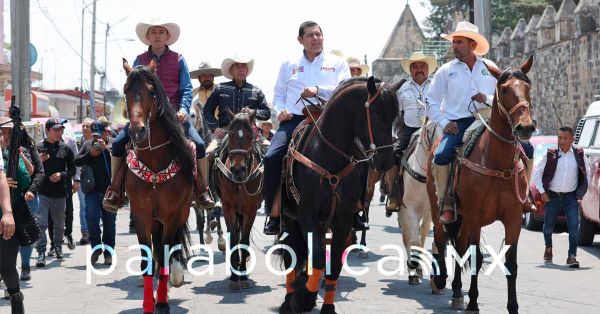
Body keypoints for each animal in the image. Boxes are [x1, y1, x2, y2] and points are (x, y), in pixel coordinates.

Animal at [119, 59, 190, 314]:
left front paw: (162, 303)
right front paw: (149, 303)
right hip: (154, 218)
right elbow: (148, 257)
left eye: (151, 91)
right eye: (126, 91)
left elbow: (168, 250)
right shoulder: (141, 214)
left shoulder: (171, 214)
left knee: (171, 247)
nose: (137, 130)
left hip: (179, 213)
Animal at [213, 110, 264, 290]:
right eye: (231, 134)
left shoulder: (251, 209)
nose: (238, 170)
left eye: (250, 135)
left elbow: (244, 239)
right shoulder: (228, 208)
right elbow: (235, 238)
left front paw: (243, 274)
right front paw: (235, 276)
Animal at [278, 76, 404, 314]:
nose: (387, 161)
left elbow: (333, 264)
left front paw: (324, 305)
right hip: (288, 219)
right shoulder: (306, 215)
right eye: (376, 114)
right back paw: (289, 299)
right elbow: (318, 258)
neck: (328, 158)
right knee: (291, 253)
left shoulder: (343, 220)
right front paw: (302, 298)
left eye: (395, 117)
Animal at [390, 119, 440, 286]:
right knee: (407, 238)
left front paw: (418, 267)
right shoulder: (409, 209)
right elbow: (413, 240)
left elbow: (422, 237)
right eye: (430, 130)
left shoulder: (431, 211)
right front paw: (412, 266)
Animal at [426, 56, 536, 314]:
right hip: (439, 208)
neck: (497, 163)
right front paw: (474, 304)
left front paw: (513, 306)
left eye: (528, 87)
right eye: (504, 89)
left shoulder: (513, 219)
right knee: (442, 238)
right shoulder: (475, 217)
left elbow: (511, 264)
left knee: (460, 247)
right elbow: (475, 258)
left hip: (464, 219)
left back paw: (457, 292)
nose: (525, 127)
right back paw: (441, 280)